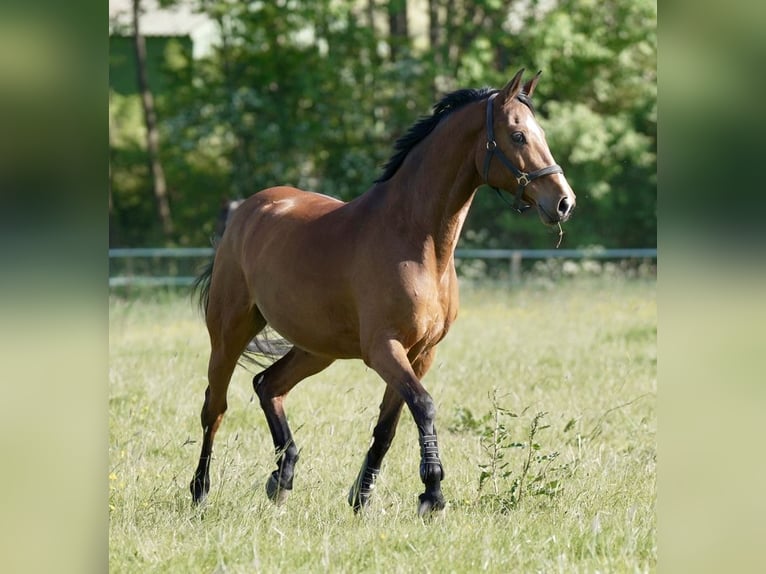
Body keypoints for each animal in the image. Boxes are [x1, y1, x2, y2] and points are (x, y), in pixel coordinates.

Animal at [192, 68, 576, 516]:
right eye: (517, 135)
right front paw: (433, 494)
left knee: (268, 385)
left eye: (541, 132)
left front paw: (363, 496)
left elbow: (389, 425)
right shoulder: (384, 349)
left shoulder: (420, 354)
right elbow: (424, 406)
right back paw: (200, 491)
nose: (564, 202)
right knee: (215, 408)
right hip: (229, 335)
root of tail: (246, 212)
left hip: (316, 348)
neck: (416, 240)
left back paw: (282, 478)